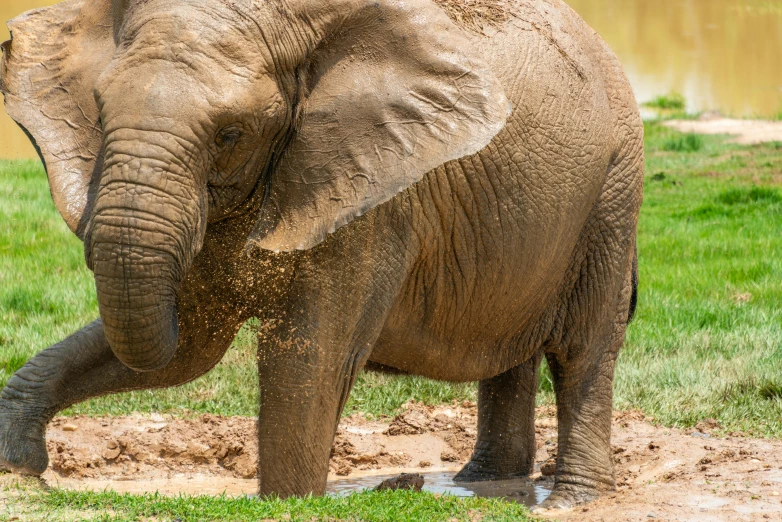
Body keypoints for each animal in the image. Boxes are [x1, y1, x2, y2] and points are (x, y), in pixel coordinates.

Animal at [0, 0, 644, 508]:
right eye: (99, 110)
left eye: (230, 134)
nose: (27, 461)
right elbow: (188, 345)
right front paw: (17, 463)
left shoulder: (375, 190)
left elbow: (308, 358)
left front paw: (287, 503)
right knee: (511, 352)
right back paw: (482, 485)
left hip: (613, 192)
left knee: (583, 351)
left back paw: (571, 501)